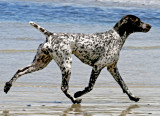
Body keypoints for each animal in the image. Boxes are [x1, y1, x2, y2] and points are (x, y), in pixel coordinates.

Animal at [3, 14, 151, 103]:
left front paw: (133, 97)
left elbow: (124, 85)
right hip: (66, 65)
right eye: (138, 21)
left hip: (40, 64)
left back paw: (7, 86)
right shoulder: (98, 66)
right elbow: (90, 87)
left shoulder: (112, 68)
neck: (117, 37)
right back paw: (74, 100)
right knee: (64, 87)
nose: (149, 26)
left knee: (20, 70)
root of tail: (51, 35)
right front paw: (78, 94)